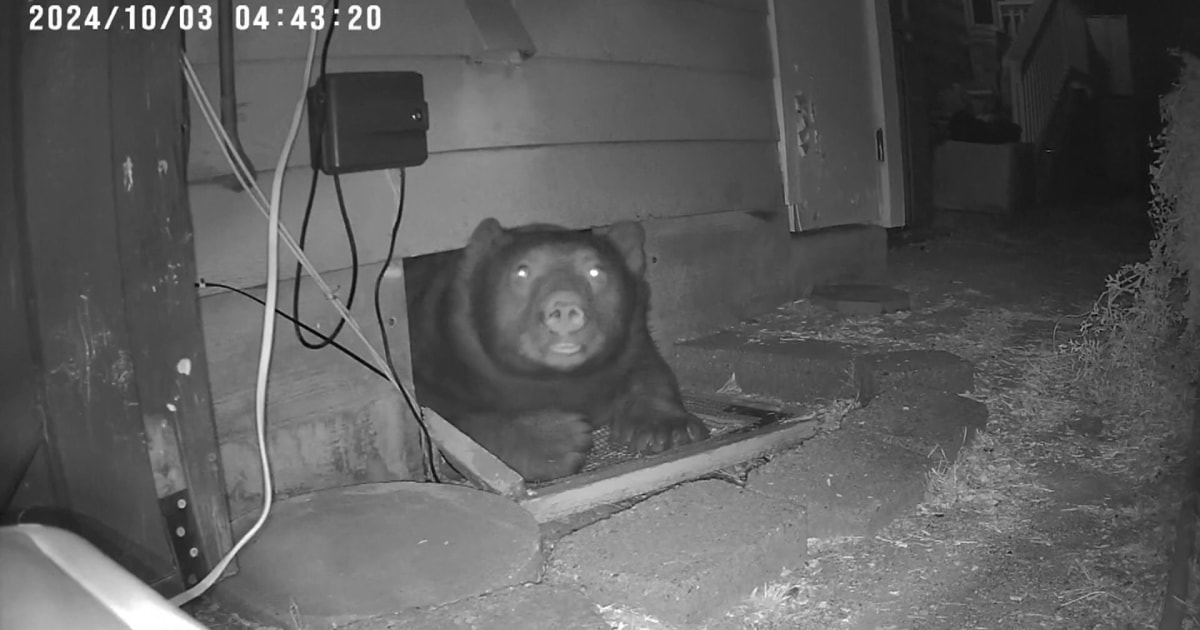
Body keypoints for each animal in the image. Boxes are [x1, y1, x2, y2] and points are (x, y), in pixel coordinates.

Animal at [405, 217, 710, 482]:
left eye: (596, 271)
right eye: (522, 270)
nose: (564, 308)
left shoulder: (633, 336)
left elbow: (647, 366)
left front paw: (666, 427)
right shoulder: (437, 349)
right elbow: (440, 415)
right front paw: (555, 439)